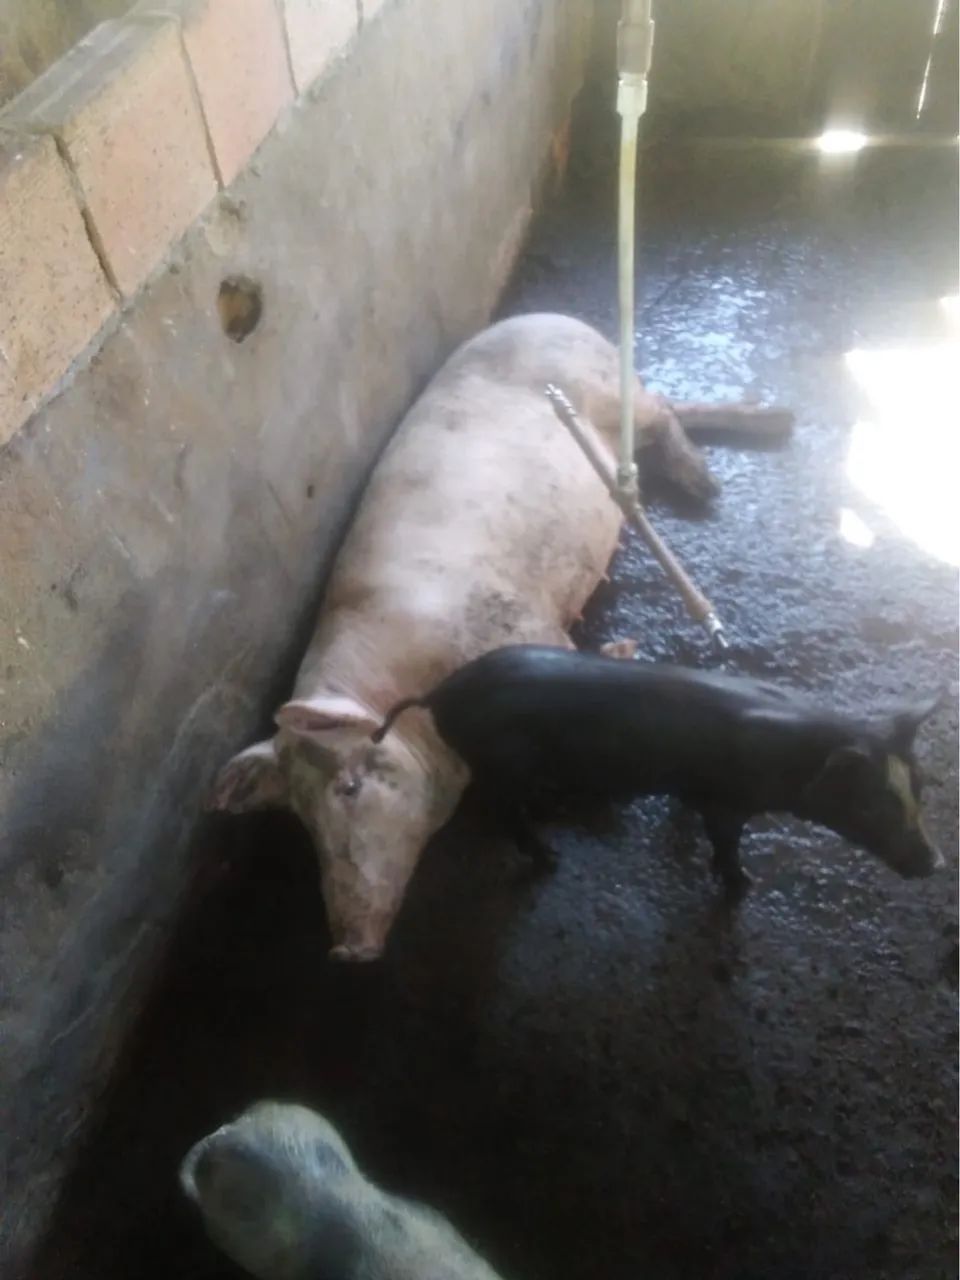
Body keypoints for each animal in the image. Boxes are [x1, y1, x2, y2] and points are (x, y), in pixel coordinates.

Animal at [211, 312, 793, 960]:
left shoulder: (519, 624)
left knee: (662, 408)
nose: (349, 950)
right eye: (303, 823)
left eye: (351, 786)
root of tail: (550, 317)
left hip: (607, 390)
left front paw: (622, 659)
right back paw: (774, 425)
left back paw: (711, 484)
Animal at [373, 645, 945, 889]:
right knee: (506, 814)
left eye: (919, 789)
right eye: (869, 806)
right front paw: (744, 885)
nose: (937, 862)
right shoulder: (727, 802)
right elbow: (725, 843)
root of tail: (439, 694)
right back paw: (549, 860)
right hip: (502, 766)